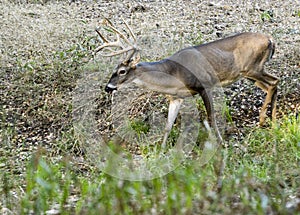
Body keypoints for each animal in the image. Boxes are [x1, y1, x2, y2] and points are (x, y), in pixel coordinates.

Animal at [96, 18, 278, 147]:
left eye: (122, 71)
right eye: (114, 69)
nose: (108, 88)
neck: (173, 74)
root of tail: (270, 38)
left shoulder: (205, 85)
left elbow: (211, 117)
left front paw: (221, 143)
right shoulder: (176, 97)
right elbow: (168, 126)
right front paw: (161, 151)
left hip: (252, 68)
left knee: (274, 82)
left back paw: (262, 122)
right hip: (249, 74)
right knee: (272, 83)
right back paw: (272, 122)